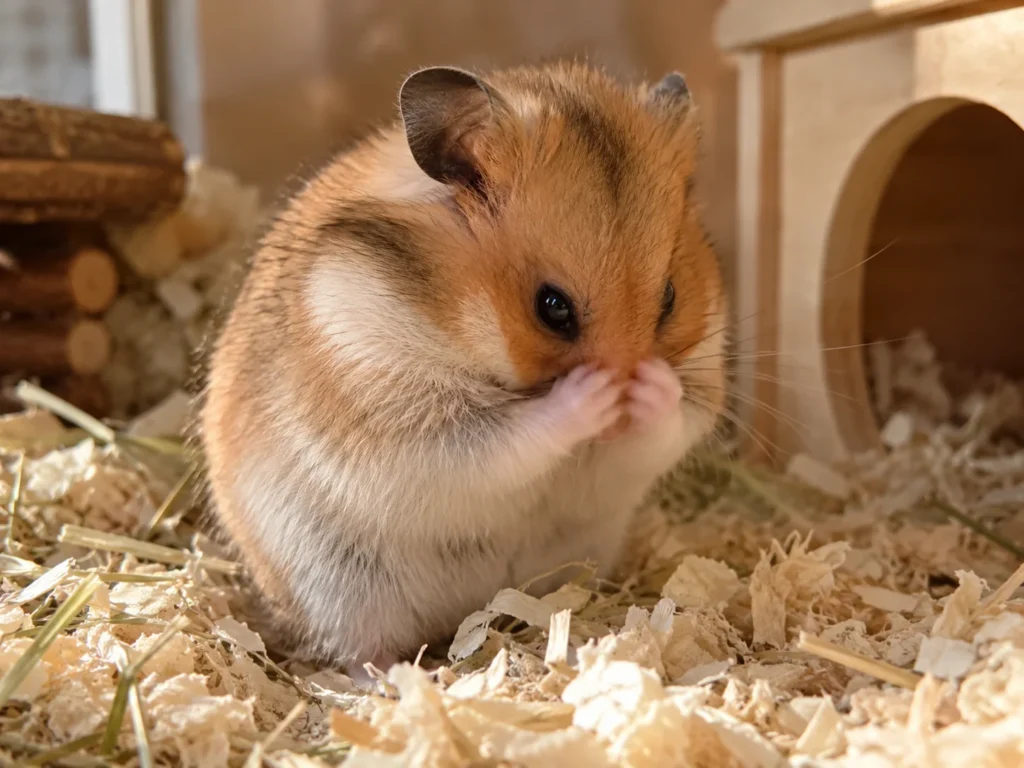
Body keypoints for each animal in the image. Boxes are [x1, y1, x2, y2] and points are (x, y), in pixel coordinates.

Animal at [200, 62, 728, 677]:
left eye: (669, 298)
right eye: (552, 307)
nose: (617, 413)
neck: (456, 316)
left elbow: (666, 427)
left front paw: (646, 390)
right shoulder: (399, 407)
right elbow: (506, 438)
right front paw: (593, 392)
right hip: (336, 582)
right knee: (356, 650)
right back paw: (398, 679)